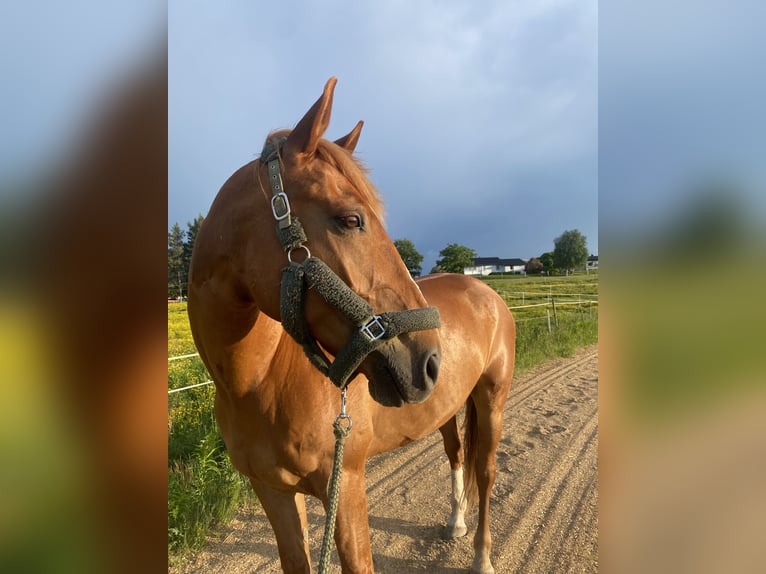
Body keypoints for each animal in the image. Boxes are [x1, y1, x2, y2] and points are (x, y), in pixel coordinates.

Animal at [189, 77, 520, 574]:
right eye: (350, 219)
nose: (428, 360)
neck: (260, 379)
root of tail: (487, 292)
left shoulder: (344, 488)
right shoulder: (275, 492)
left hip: (492, 398)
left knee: (486, 471)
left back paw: (481, 555)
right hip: (446, 405)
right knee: (456, 452)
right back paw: (455, 523)